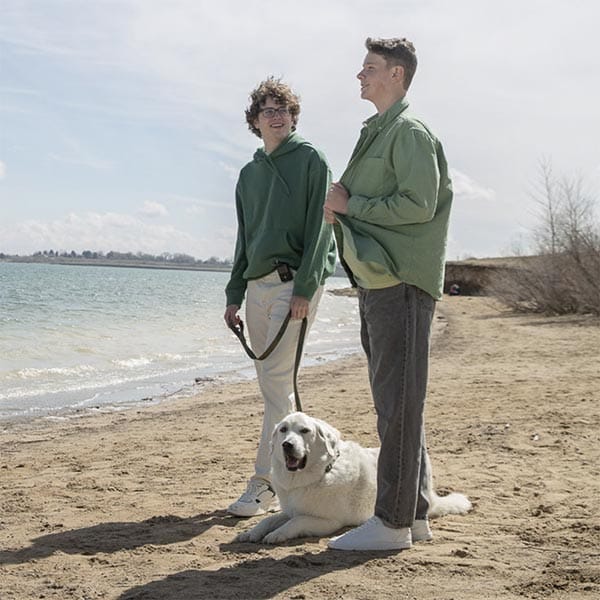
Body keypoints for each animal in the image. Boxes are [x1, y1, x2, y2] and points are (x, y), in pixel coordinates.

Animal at [236, 412, 474, 544]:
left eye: (304, 431)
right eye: (283, 430)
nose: (287, 445)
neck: (322, 472)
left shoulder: (327, 521)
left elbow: (297, 521)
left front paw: (277, 535)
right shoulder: (291, 509)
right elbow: (269, 519)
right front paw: (252, 533)